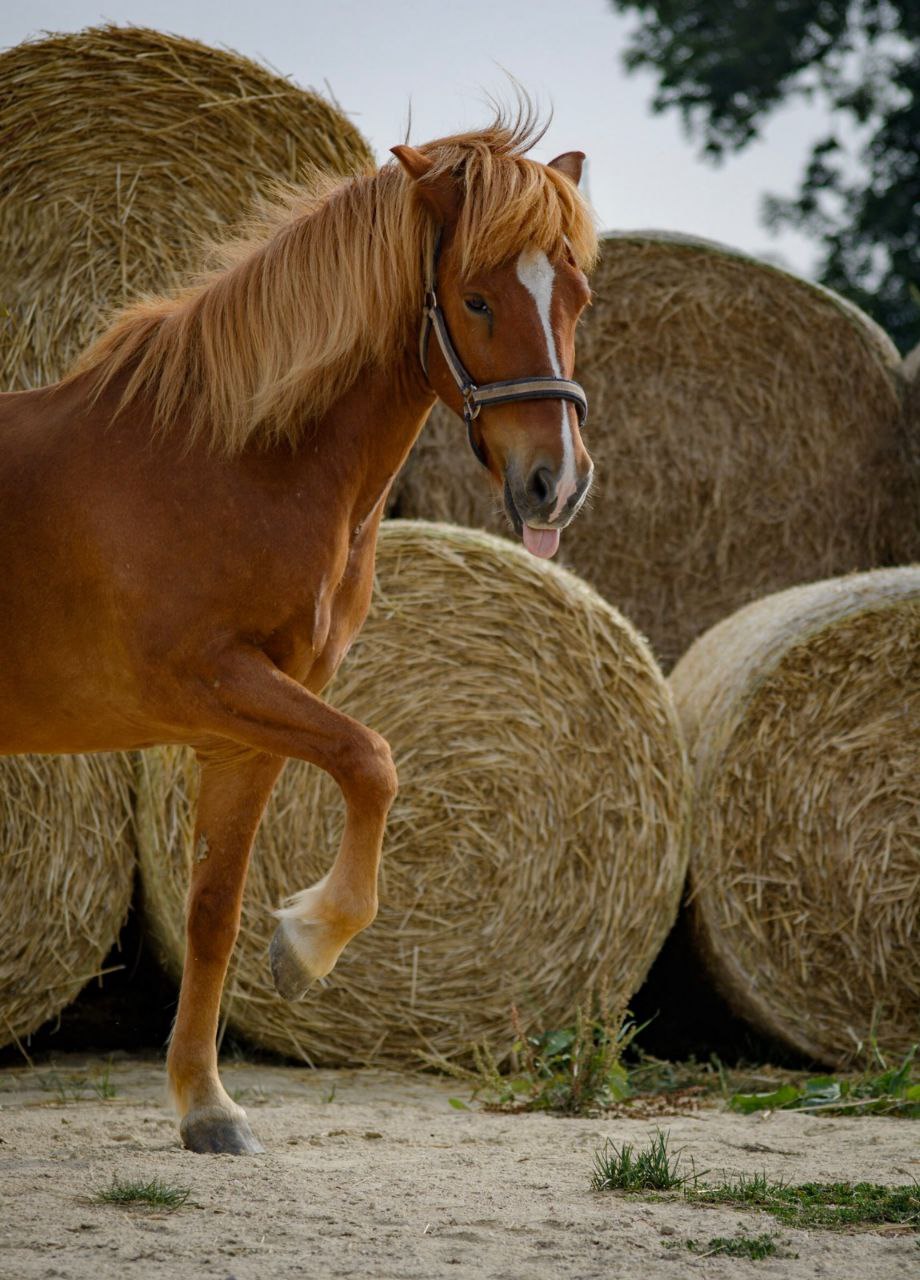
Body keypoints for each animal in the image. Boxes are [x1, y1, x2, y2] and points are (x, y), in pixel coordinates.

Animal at [0, 111, 597, 1154]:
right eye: (476, 299)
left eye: (577, 295)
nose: (552, 485)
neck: (234, 458)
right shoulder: (211, 681)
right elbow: (375, 761)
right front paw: (309, 944)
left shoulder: (250, 724)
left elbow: (213, 910)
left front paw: (206, 1102)